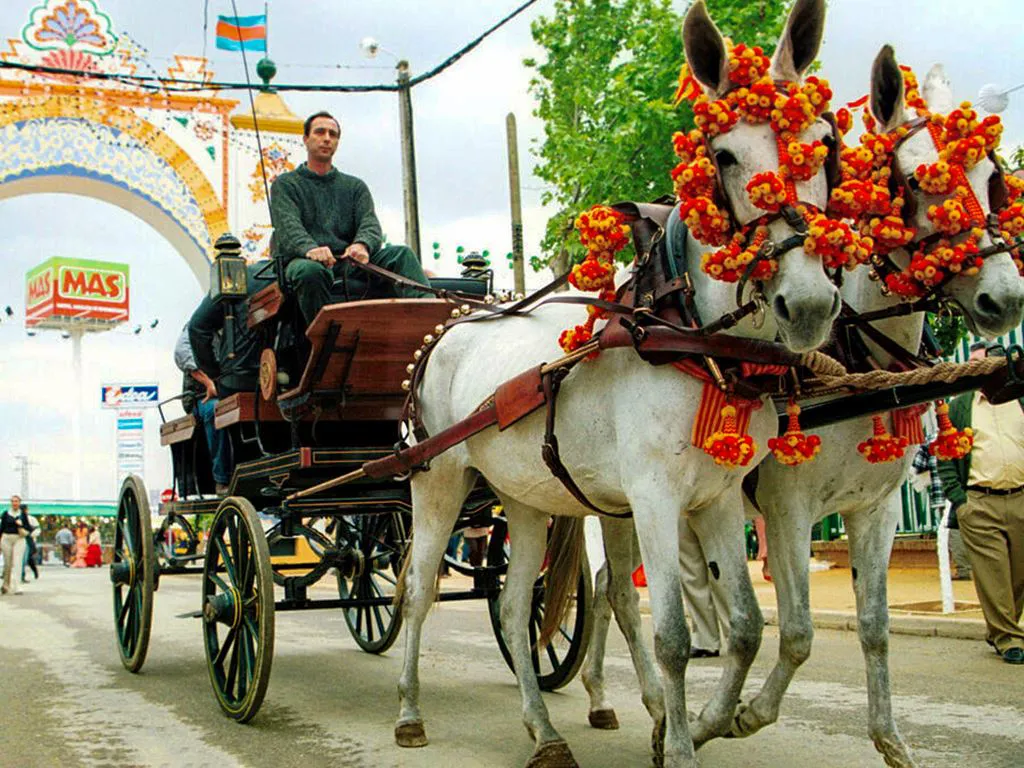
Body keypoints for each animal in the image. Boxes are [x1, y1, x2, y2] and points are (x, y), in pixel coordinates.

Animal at [391, 3, 839, 765]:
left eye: (822, 142)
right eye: (724, 156)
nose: (808, 303)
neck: (687, 337)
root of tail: (447, 327)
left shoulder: (717, 499)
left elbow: (747, 628)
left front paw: (712, 721)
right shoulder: (654, 498)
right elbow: (673, 638)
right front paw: (681, 744)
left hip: (526, 498)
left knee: (514, 606)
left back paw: (543, 730)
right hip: (439, 480)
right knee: (418, 589)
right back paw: (410, 711)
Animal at [577, 45, 1024, 765]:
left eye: (993, 179)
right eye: (914, 179)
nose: (1003, 298)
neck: (857, 355)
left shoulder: (875, 507)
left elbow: (873, 626)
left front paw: (890, 739)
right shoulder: (789, 506)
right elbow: (798, 630)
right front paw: (733, 717)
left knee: (606, 593)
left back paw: (610, 697)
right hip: (613, 505)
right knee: (611, 591)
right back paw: (617, 698)